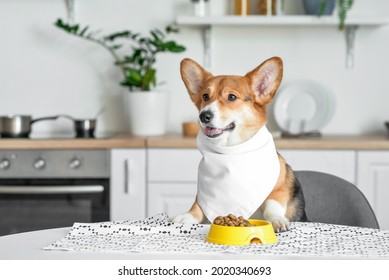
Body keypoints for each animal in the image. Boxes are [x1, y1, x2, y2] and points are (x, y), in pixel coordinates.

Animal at [173, 56, 306, 232]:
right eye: (205, 96)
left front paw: (276, 220)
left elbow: (272, 204)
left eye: (231, 97)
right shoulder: (202, 196)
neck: (231, 151)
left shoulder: (280, 188)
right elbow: (198, 206)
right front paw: (186, 216)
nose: (203, 116)